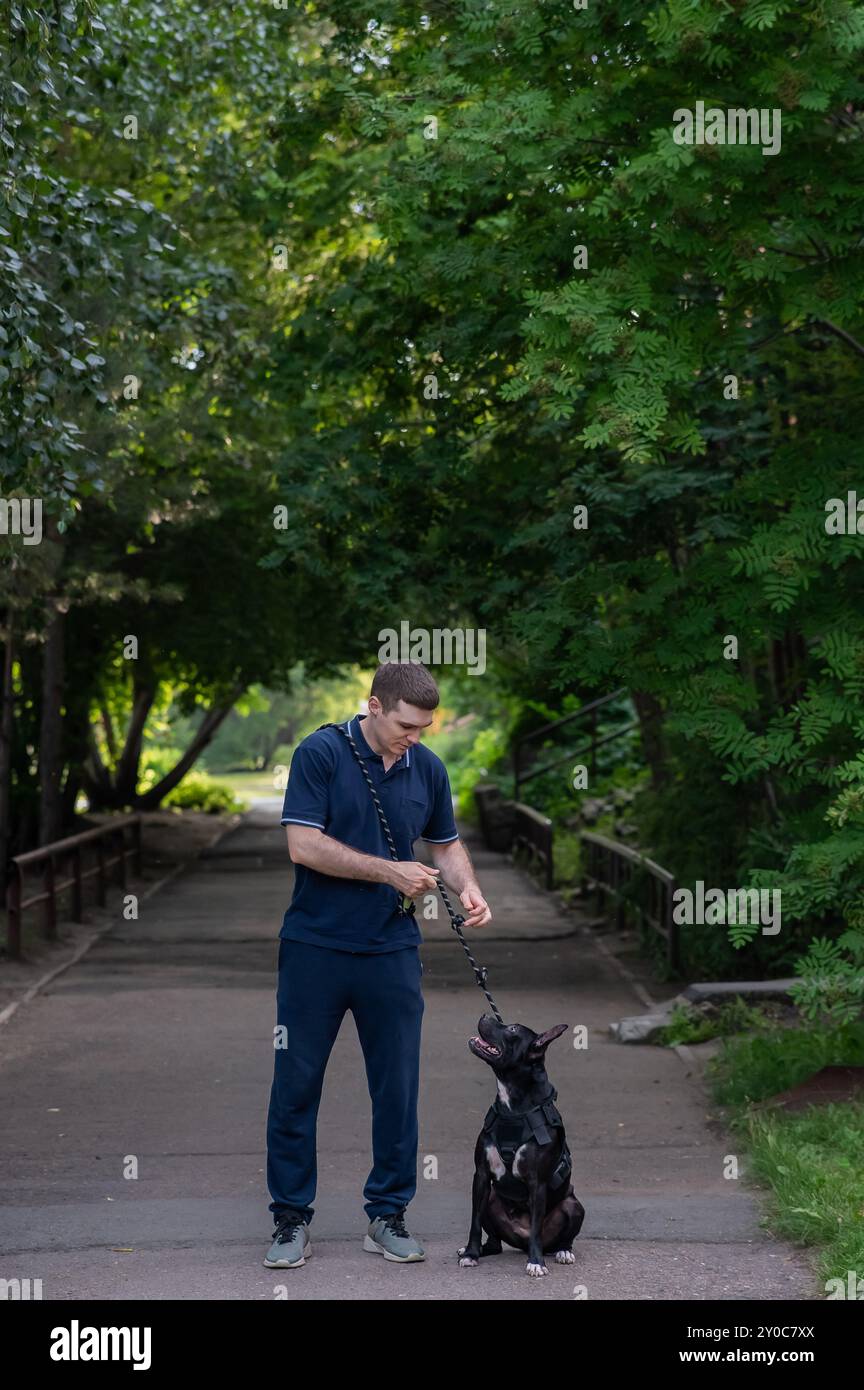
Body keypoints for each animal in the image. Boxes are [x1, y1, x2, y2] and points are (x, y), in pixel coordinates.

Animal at [458, 1017, 586, 1273]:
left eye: (513, 1029)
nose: (486, 1015)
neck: (513, 1108)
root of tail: (521, 1240)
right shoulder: (481, 1176)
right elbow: (474, 1222)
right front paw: (470, 1254)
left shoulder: (538, 1183)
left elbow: (536, 1226)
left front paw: (536, 1263)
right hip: (491, 1197)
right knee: (495, 1243)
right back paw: (482, 1250)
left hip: (573, 1205)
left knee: (559, 1237)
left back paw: (562, 1251)